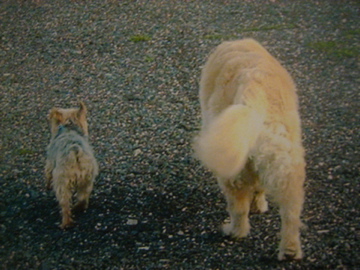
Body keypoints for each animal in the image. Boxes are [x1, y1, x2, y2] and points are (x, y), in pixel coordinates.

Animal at [194, 39, 306, 260]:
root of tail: (253, 86)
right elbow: (259, 187)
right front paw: (259, 205)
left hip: (234, 169)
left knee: (238, 209)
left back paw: (234, 231)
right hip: (284, 160)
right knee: (291, 211)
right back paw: (290, 250)